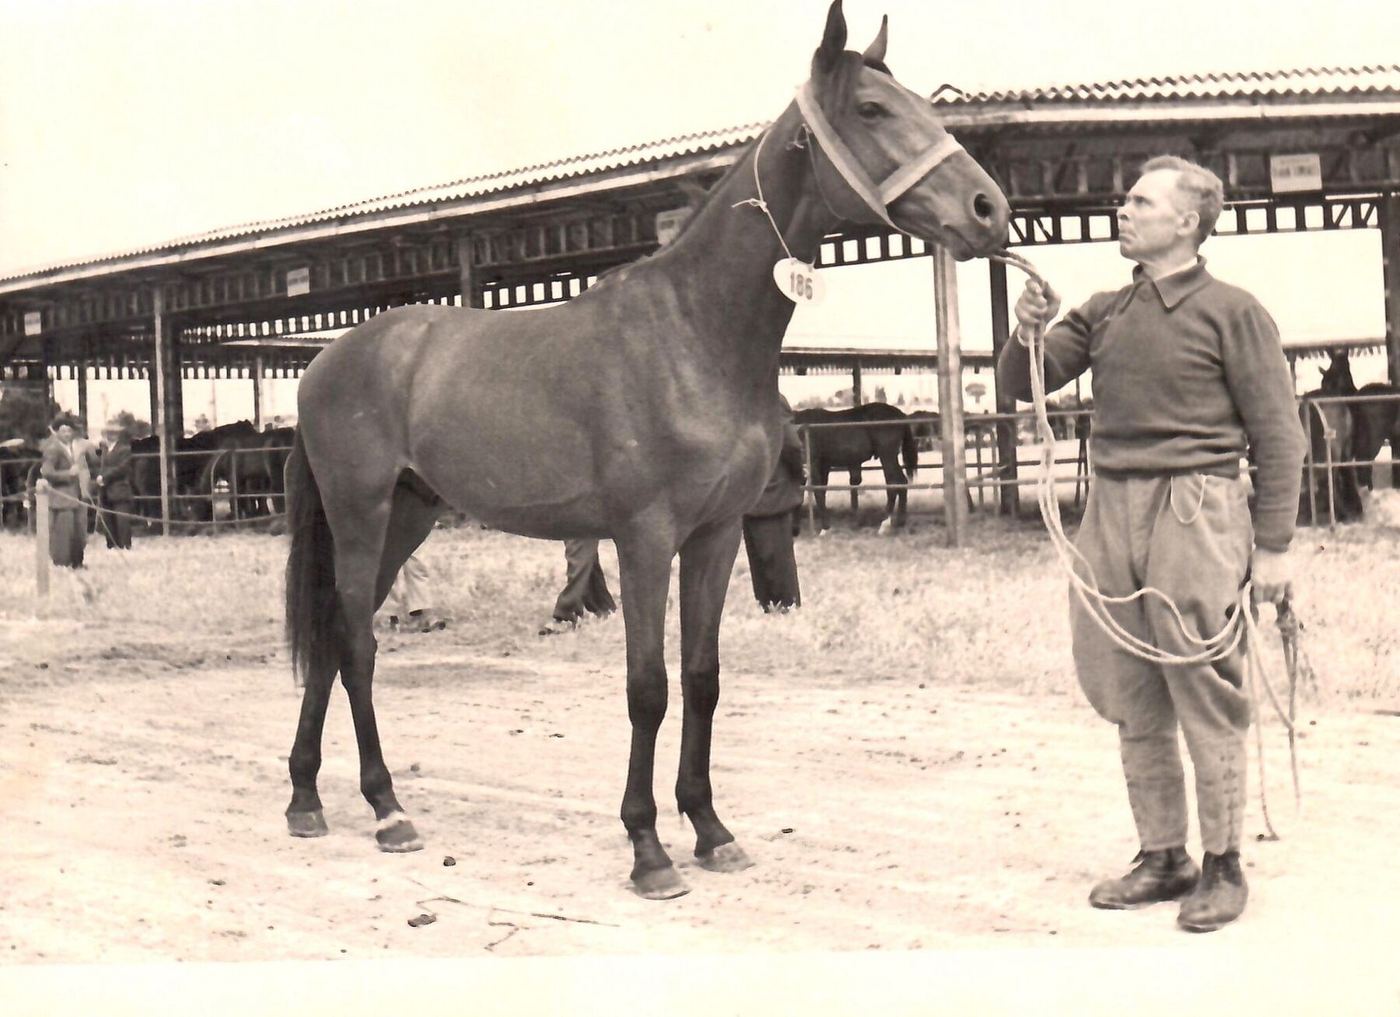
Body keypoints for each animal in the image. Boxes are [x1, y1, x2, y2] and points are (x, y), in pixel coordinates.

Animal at [794, 401, 919, 532]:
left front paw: (825, 526)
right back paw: (896, 521)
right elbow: (819, 491)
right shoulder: (824, 466)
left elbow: (816, 492)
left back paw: (886, 522)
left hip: (887, 456)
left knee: (895, 482)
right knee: (898, 483)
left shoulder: (813, 464)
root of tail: (900, 415)